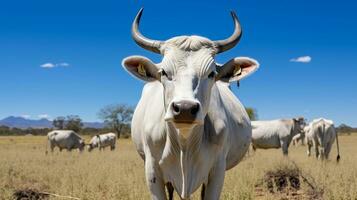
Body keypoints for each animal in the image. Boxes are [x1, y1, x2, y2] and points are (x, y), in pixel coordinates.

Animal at [121, 8, 258, 200]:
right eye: (164, 72)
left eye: (211, 73)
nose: (185, 108)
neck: (184, 144)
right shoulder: (152, 172)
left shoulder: (217, 172)